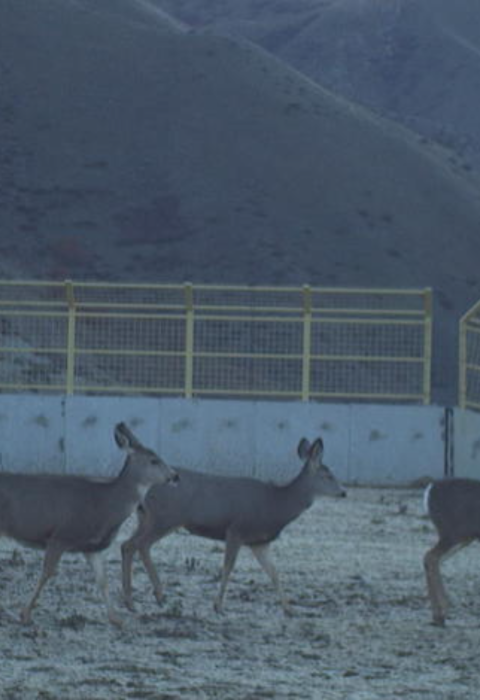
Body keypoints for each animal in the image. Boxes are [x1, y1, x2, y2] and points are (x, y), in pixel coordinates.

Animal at [0, 422, 178, 626]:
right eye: (153, 460)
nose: (175, 476)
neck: (104, 505)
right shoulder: (61, 535)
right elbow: (46, 573)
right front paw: (25, 614)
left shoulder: (91, 547)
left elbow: (103, 580)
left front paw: (116, 618)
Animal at [121, 436, 346, 615]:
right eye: (327, 475)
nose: (343, 492)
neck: (276, 505)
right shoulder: (236, 529)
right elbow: (228, 567)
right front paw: (218, 606)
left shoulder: (259, 541)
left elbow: (274, 573)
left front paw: (289, 609)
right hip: (166, 517)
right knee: (141, 545)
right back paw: (158, 595)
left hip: (146, 518)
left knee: (127, 545)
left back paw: (130, 601)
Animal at [423, 477, 480, 626]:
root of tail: (430, 489)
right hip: (452, 533)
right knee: (430, 556)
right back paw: (440, 614)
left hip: (462, 538)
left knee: (432, 559)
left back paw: (438, 615)